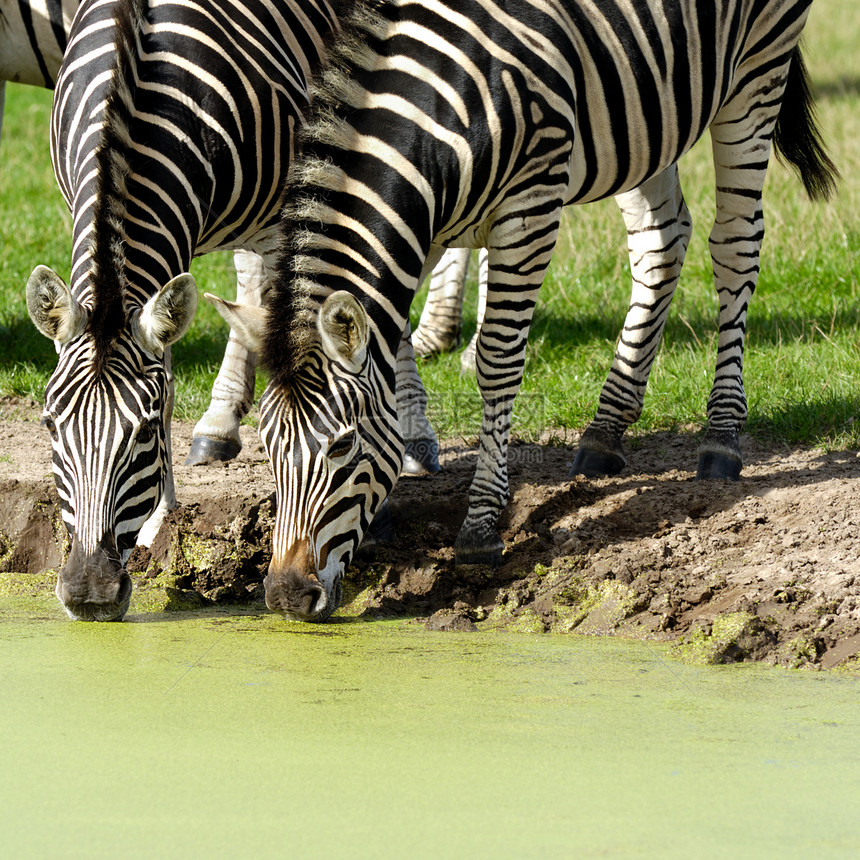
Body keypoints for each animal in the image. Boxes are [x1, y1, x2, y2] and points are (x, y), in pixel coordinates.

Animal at [205, 0, 836, 620]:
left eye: (340, 446)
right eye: (268, 447)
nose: (285, 597)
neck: (439, 116)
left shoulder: (529, 210)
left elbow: (497, 362)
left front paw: (480, 525)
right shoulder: (424, 226)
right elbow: (397, 341)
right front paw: (401, 480)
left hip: (758, 69)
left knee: (735, 242)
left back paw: (722, 434)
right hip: (648, 118)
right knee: (661, 240)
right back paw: (605, 429)